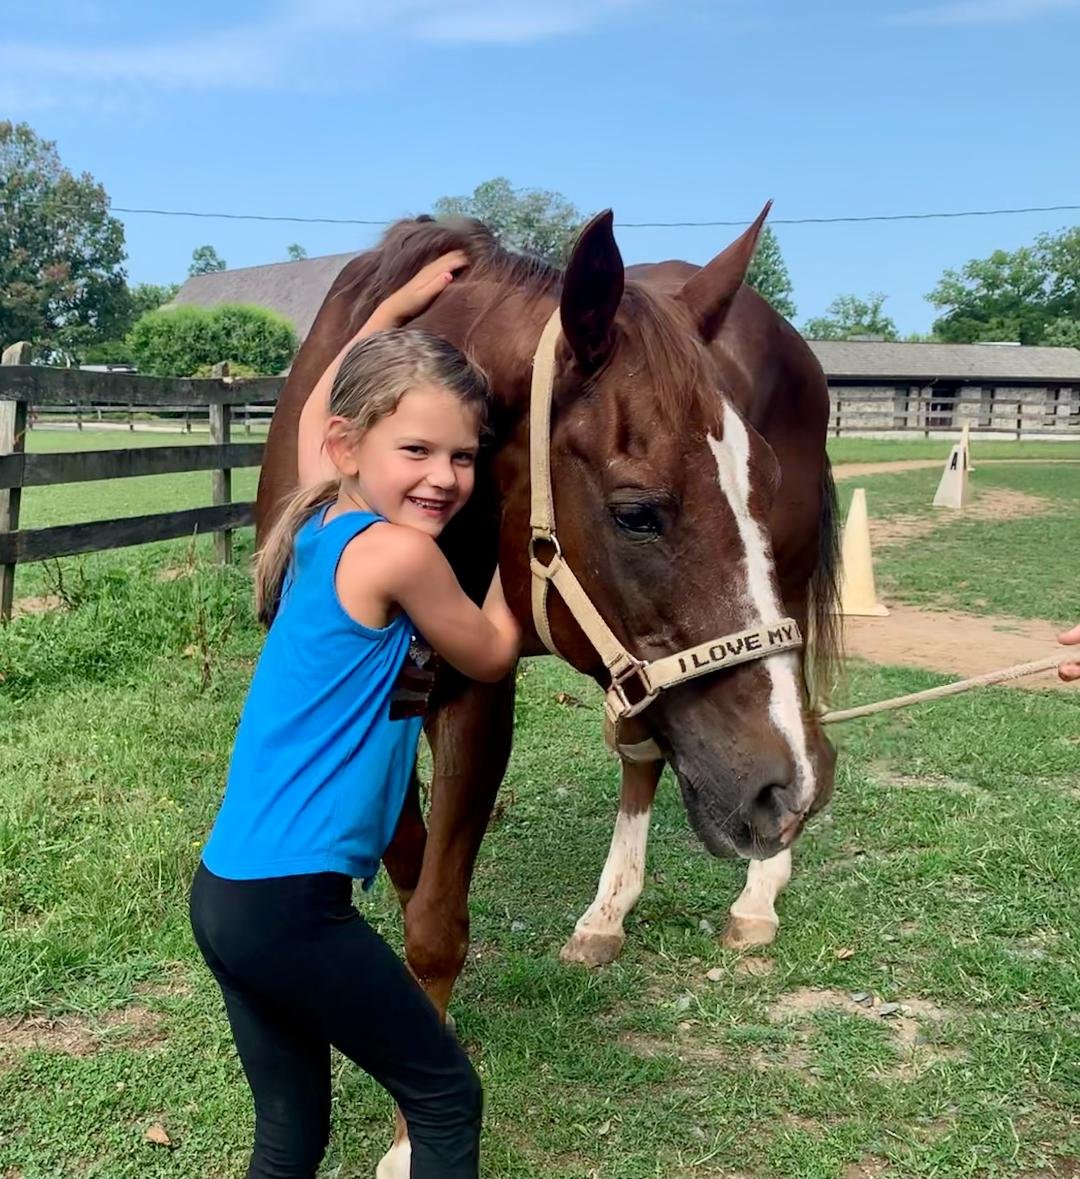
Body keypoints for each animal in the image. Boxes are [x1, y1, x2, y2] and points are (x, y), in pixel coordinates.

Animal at [255, 206, 839, 1176]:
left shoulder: (473, 696)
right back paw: (610, 913)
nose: (777, 790)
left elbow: (434, 919)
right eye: (638, 511)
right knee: (645, 752)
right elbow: (413, 878)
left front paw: (410, 1140)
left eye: (761, 488)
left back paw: (759, 891)